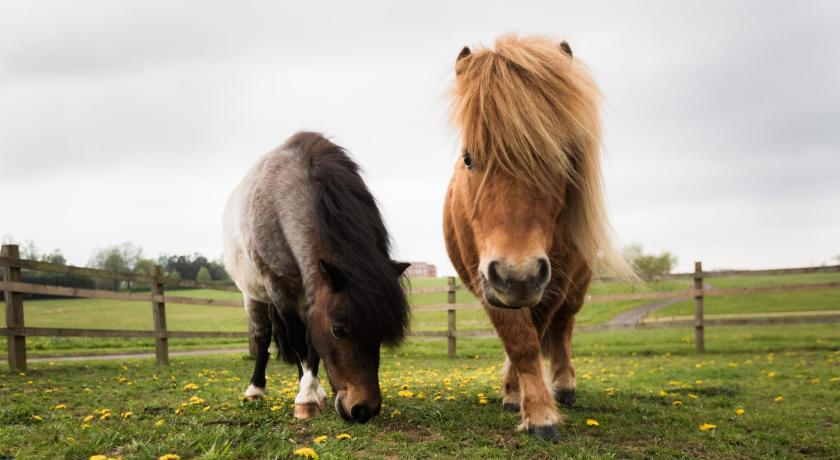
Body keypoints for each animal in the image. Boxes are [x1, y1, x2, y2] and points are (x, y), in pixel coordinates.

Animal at [221, 131, 408, 422]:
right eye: (339, 331)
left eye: (380, 332)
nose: (364, 410)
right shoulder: (281, 290)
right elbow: (298, 339)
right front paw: (306, 399)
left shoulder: (312, 296)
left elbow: (310, 343)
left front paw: (312, 392)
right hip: (252, 295)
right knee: (262, 337)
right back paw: (256, 389)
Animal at [442, 34, 632, 440]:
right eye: (468, 159)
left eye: (560, 158)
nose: (518, 275)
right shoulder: (488, 281)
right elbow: (520, 343)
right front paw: (531, 407)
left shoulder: (551, 282)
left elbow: (538, 334)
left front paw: (539, 407)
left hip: (573, 287)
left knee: (562, 330)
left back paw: (564, 385)